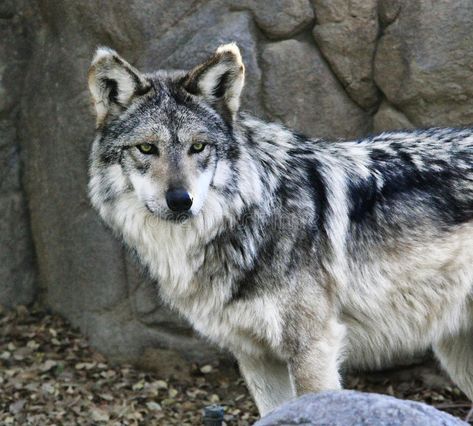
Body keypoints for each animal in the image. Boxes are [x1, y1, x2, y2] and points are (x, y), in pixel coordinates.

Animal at [86, 43, 472, 416]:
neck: (255, 214)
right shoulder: (255, 356)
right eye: (146, 148)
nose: (181, 201)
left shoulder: (313, 347)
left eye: (198, 147)